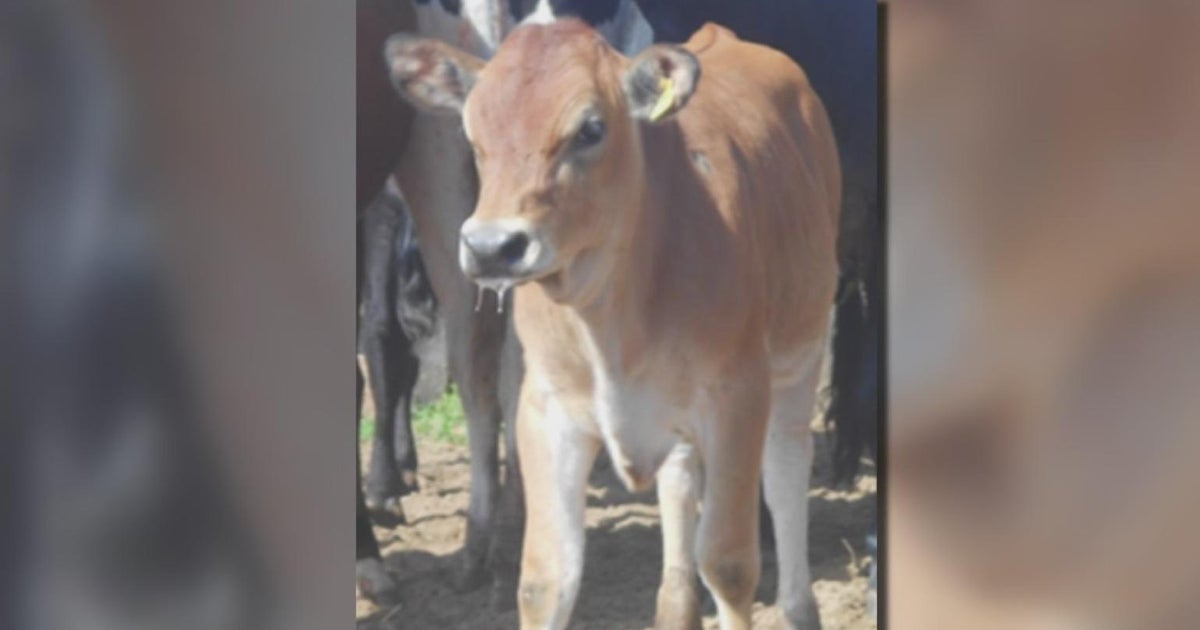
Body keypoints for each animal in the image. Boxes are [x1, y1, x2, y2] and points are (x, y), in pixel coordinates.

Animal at [388, 19, 841, 630]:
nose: (491, 247)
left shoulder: (738, 396)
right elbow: (547, 578)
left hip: (800, 353)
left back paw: (797, 606)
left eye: (590, 129)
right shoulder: (546, 409)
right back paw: (676, 605)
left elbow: (728, 563)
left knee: (788, 465)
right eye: (471, 131)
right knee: (680, 482)